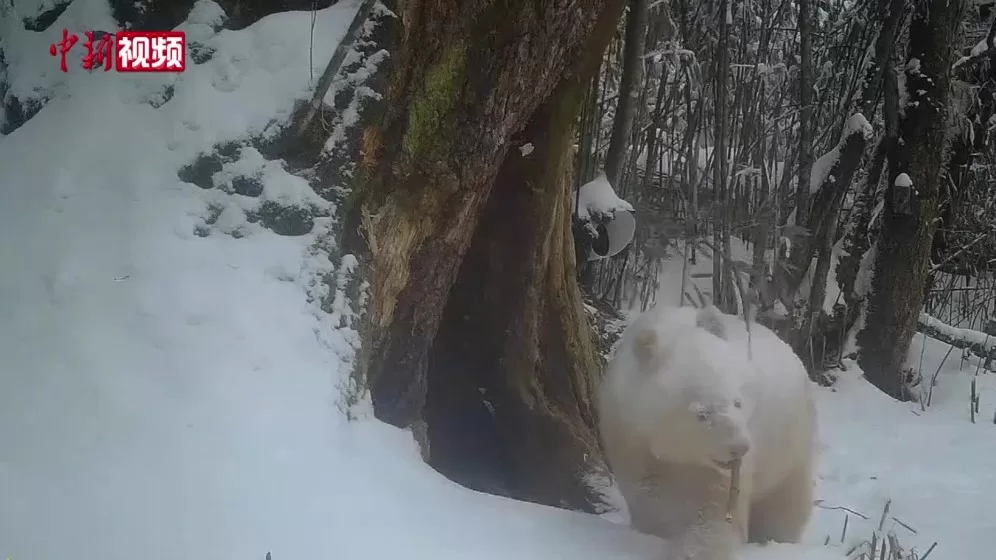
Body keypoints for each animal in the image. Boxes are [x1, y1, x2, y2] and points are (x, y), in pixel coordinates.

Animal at [597, 304, 817, 560]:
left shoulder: (718, 469)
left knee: (785, 504)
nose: (740, 448)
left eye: (738, 402)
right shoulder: (629, 434)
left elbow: (713, 512)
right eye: (702, 413)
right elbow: (647, 495)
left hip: (790, 446)